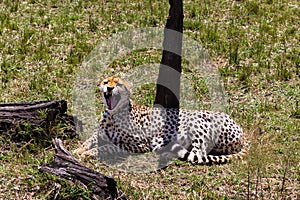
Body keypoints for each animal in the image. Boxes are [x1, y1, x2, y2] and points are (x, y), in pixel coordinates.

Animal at [73, 76, 248, 164]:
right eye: (105, 82)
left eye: (119, 84)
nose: (109, 88)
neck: (113, 114)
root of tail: (240, 129)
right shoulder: (101, 133)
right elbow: (90, 140)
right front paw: (79, 150)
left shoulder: (139, 145)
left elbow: (106, 147)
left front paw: (89, 153)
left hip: (198, 121)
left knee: (199, 154)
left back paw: (167, 154)